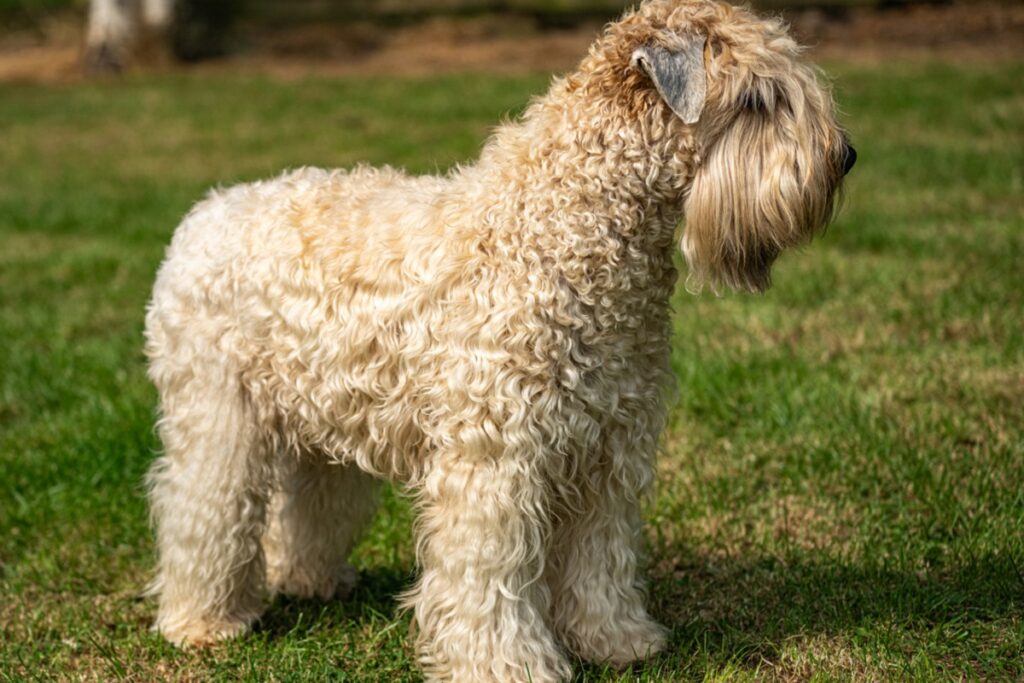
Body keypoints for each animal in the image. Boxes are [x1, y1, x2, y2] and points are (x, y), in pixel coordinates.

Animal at [140, 0, 851, 679]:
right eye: (757, 99)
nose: (843, 157)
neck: (566, 229)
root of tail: (203, 213)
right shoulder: (498, 461)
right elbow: (491, 577)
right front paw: (508, 665)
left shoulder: (608, 450)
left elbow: (602, 559)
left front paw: (617, 640)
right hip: (217, 415)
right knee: (202, 508)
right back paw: (204, 622)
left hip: (323, 414)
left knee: (312, 500)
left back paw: (312, 580)